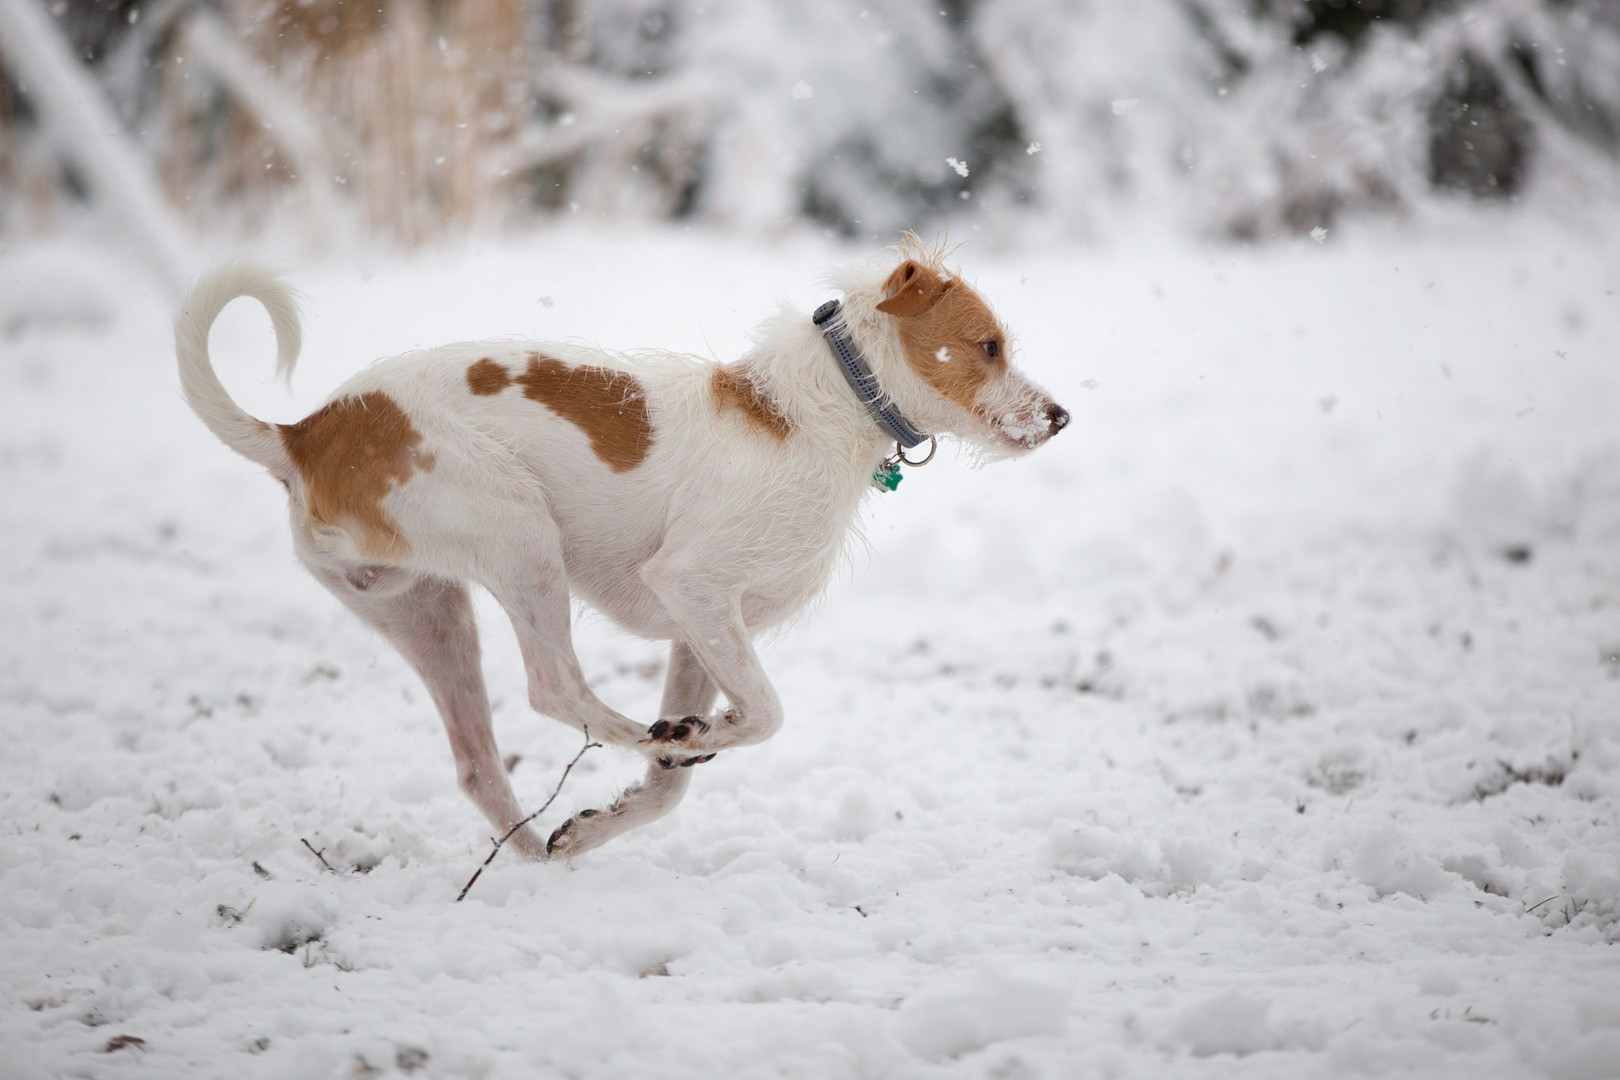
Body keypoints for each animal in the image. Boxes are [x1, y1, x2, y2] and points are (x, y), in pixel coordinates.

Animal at [177, 242, 1069, 861]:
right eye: (987, 346)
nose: (1060, 417)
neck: (826, 408)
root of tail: (302, 434)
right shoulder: (693, 585)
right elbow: (765, 716)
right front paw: (690, 736)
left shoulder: (700, 631)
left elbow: (673, 790)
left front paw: (601, 823)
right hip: (519, 534)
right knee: (554, 689)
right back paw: (650, 732)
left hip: (425, 608)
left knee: (478, 762)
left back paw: (542, 855)